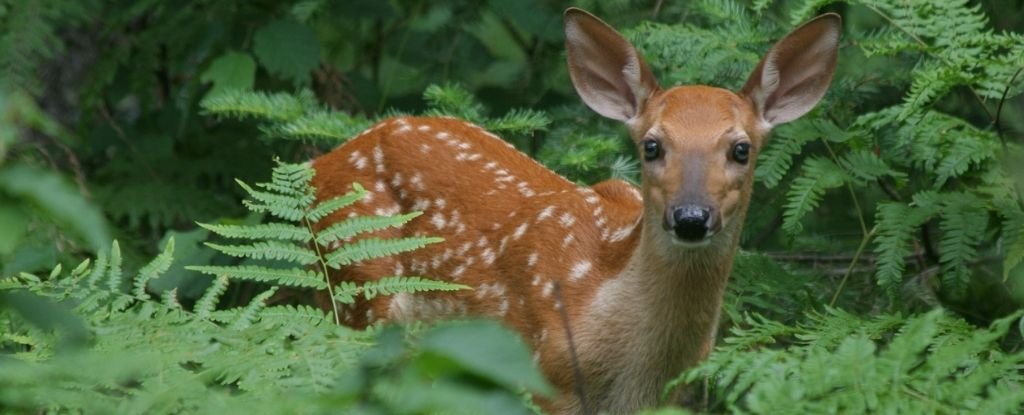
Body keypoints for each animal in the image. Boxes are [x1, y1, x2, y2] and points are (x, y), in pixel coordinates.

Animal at [309, 7, 839, 413]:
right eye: (651, 145)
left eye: (741, 149)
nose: (691, 218)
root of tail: (321, 161)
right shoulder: (547, 378)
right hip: (361, 296)